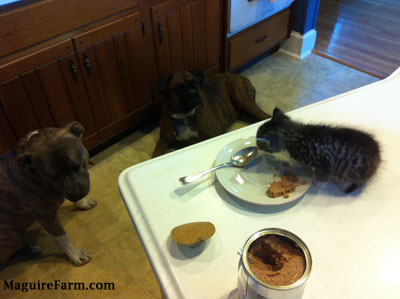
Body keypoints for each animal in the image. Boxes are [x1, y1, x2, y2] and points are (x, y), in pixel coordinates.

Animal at [0, 120, 97, 270]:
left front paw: (83, 202)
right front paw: (75, 255)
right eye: (52, 177)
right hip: (11, 237)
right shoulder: (46, 216)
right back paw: (29, 251)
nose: (76, 194)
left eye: (76, 165)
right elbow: (62, 238)